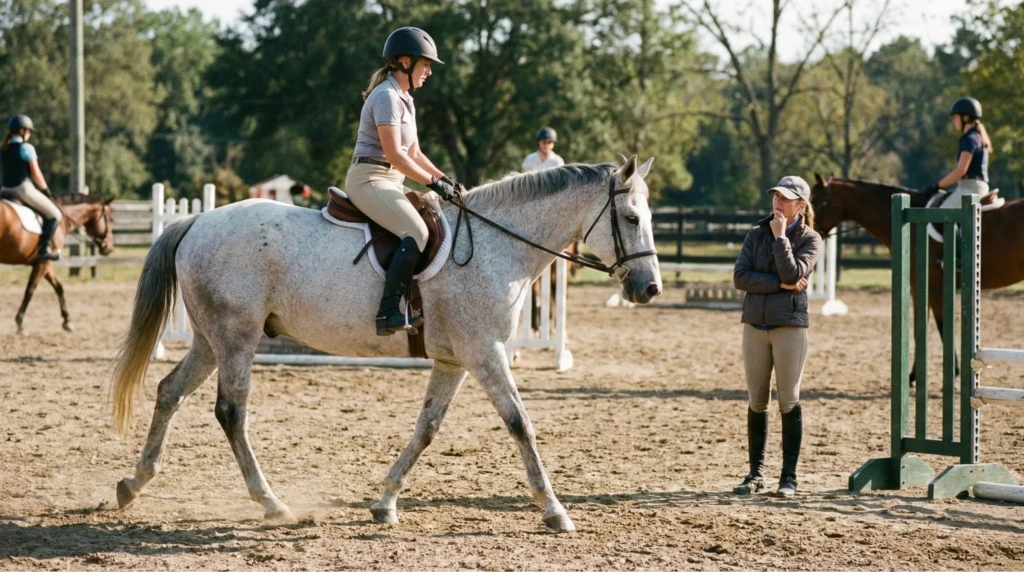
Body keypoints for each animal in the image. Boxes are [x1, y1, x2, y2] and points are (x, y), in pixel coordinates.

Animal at [0, 193, 115, 334]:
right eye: (110, 219)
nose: (109, 247)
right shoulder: (43, 263)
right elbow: (30, 291)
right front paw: (20, 324)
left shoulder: (46, 264)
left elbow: (59, 287)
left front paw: (67, 321)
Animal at [110, 156, 662, 532]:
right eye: (632, 219)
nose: (649, 288)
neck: (496, 245)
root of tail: (197, 221)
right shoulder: (485, 353)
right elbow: (520, 423)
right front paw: (555, 511)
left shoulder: (454, 361)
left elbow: (427, 429)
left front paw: (385, 503)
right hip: (237, 337)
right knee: (230, 411)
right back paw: (271, 502)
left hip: (210, 339)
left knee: (169, 391)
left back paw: (132, 484)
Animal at [809, 174, 1024, 382]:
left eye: (816, 202)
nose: (810, 231)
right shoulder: (922, 286)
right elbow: (924, 328)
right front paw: (919, 374)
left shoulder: (931, 285)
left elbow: (936, 327)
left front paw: (944, 373)